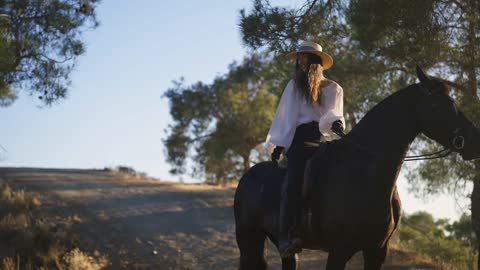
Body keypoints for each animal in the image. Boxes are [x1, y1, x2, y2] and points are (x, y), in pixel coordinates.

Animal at [232, 66, 480, 270]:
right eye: (439, 105)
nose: (474, 140)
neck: (364, 176)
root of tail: (248, 176)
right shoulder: (339, 251)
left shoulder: (376, 250)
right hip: (249, 241)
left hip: (282, 249)